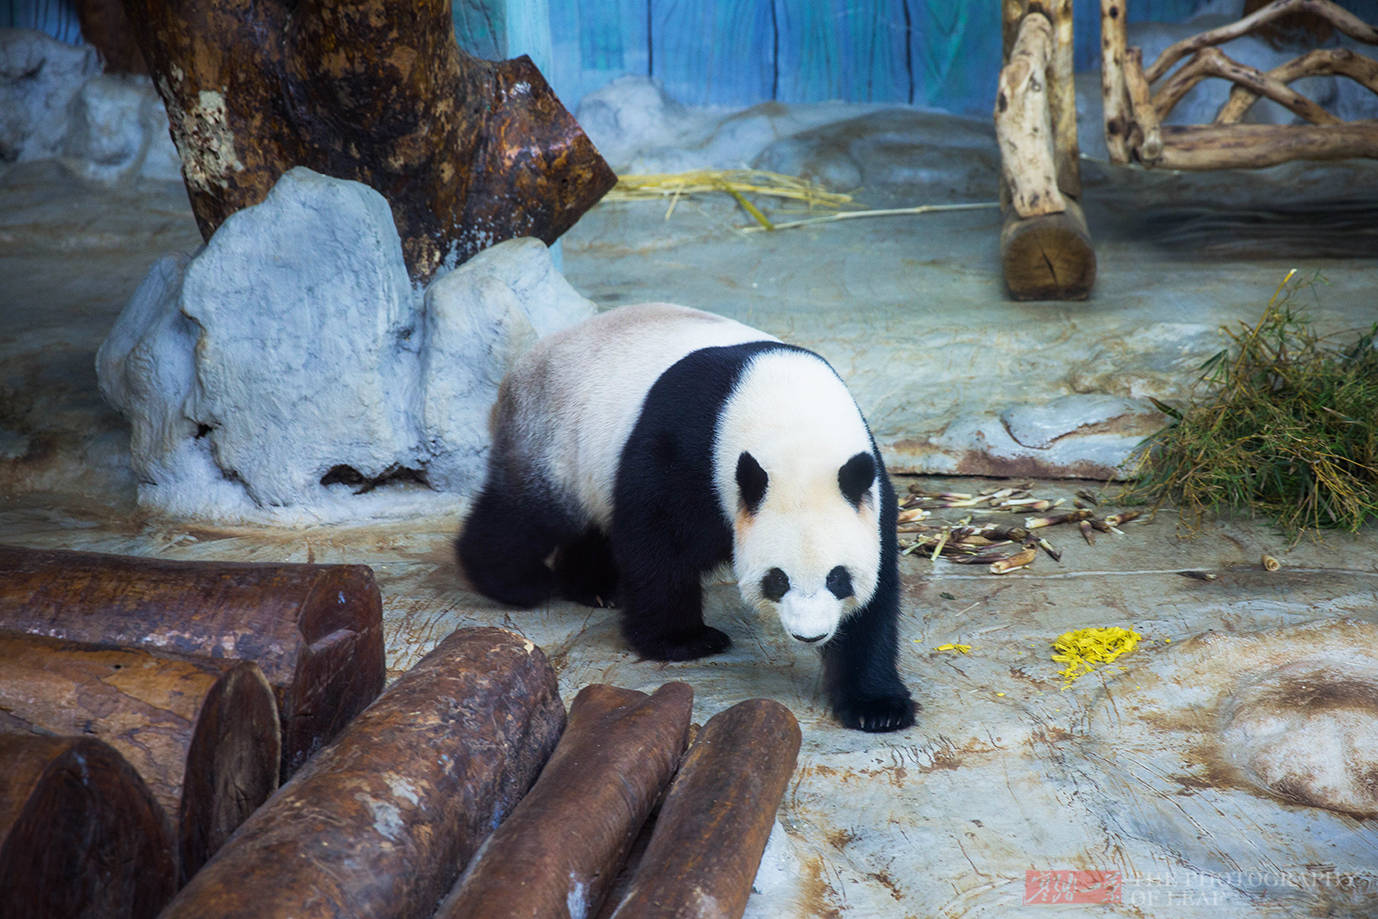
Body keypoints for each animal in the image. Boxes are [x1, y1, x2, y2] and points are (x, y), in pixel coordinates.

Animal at [460, 301, 914, 732]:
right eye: (778, 579)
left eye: (838, 578)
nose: (810, 634)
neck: (794, 426)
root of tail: (522, 367)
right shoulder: (687, 446)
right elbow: (657, 539)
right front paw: (682, 640)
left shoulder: (869, 491)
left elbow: (878, 594)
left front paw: (877, 708)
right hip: (555, 440)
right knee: (528, 514)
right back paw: (517, 581)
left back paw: (594, 587)